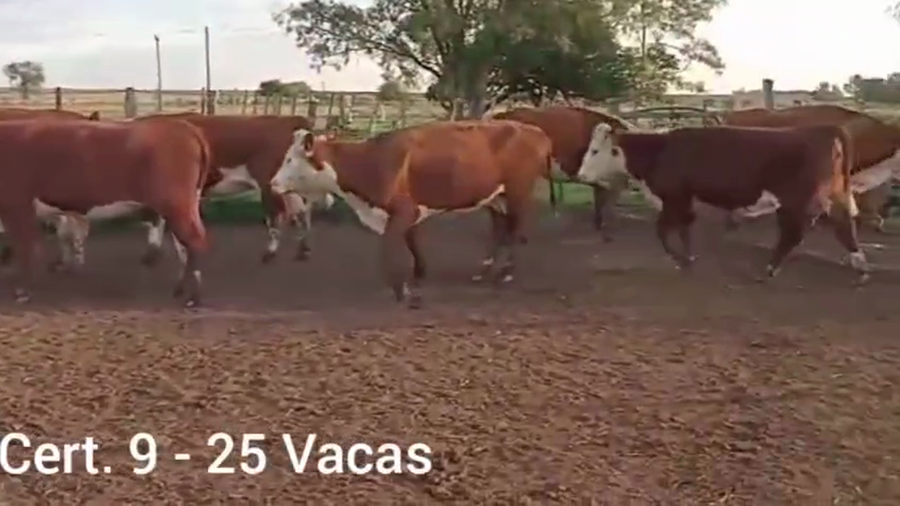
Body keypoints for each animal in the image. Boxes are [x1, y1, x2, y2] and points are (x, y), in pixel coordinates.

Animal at [0, 118, 209, 306]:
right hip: (181, 206)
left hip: (177, 204)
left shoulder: (18, 207)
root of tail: (181, 125)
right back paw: (180, 289)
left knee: (194, 241)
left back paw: (194, 298)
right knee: (184, 246)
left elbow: (25, 248)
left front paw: (23, 291)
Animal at [269, 120, 554, 308]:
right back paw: (484, 270)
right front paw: (418, 275)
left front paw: (401, 290)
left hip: (518, 192)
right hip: (495, 197)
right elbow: (412, 243)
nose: (273, 183)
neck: (371, 162)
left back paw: (506, 272)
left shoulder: (402, 212)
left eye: (290, 160)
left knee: (516, 228)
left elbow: (390, 250)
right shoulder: (409, 213)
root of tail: (536, 130)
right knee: (499, 227)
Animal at [485, 106, 639, 241]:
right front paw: (606, 229)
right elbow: (605, 204)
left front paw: (602, 225)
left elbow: (602, 203)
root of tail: (500, 115)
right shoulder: (608, 181)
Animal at [574, 123, 870, 283]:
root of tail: (823, 129)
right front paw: (688, 259)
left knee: (794, 233)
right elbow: (684, 230)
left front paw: (680, 259)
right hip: (834, 194)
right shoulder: (685, 201)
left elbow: (663, 232)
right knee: (844, 224)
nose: (581, 175)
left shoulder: (674, 198)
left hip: (797, 200)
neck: (661, 151)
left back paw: (769, 269)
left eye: (595, 150)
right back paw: (861, 266)